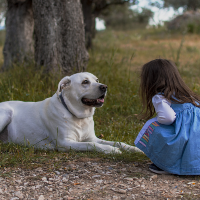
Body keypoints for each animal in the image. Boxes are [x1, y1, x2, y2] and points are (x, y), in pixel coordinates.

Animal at [0, 72, 141, 154]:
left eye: (96, 80)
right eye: (85, 82)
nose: (104, 87)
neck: (79, 117)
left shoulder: (92, 137)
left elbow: (117, 142)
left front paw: (134, 148)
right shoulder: (65, 143)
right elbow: (91, 145)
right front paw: (111, 150)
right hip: (6, 113)